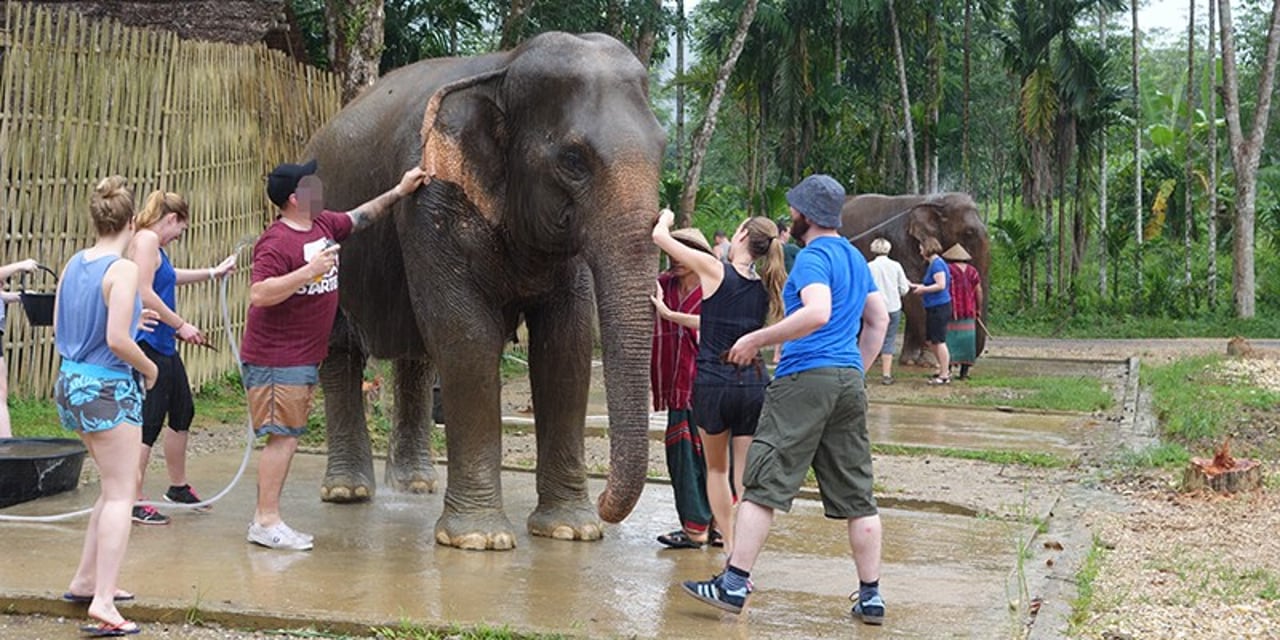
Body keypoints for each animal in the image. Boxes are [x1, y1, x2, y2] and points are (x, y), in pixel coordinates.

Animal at [299, 31, 660, 550]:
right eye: (573, 159)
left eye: (664, 146)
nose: (609, 507)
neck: (502, 67)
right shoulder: (431, 200)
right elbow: (467, 336)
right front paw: (478, 540)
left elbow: (565, 342)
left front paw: (571, 531)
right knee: (342, 348)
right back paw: (348, 492)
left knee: (416, 353)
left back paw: (414, 486)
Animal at [839, 192, 988, 366]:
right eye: (969, 232)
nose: (959, 364)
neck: (931, 200)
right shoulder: (902, 245)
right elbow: (914, 297)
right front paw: (932, 362)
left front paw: (909, 361)